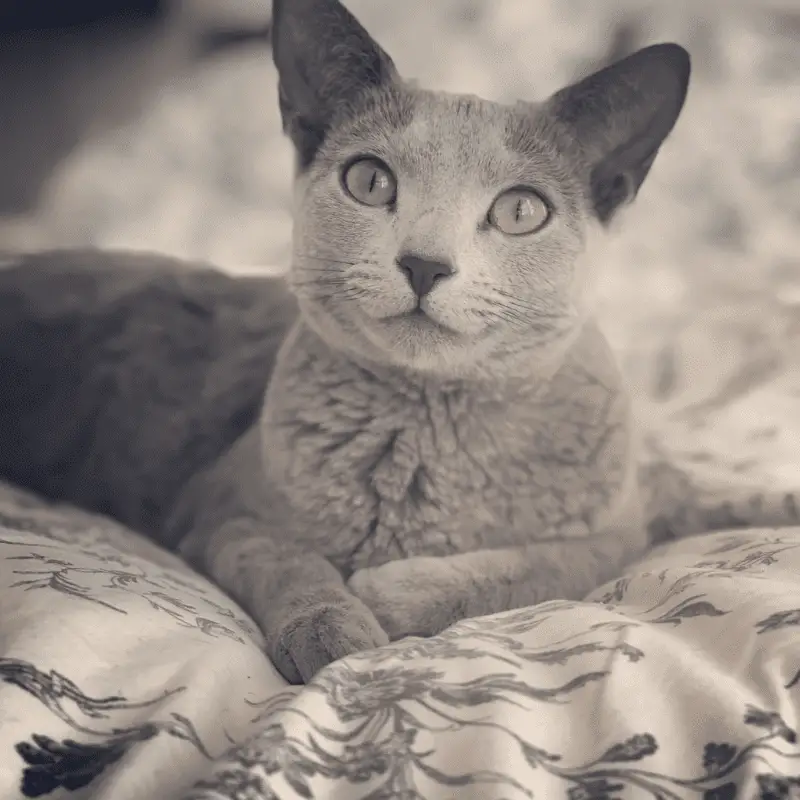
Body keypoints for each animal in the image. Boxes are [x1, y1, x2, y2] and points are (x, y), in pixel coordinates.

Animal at [3, 0, 796, 688]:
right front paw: (334, 627)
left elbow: (534, 565)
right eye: (368, 180)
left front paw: (393, 591)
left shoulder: (616, 534)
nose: (424, 263)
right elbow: (289, 560)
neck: (429, 437)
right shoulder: (217, 508)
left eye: (520, 210)